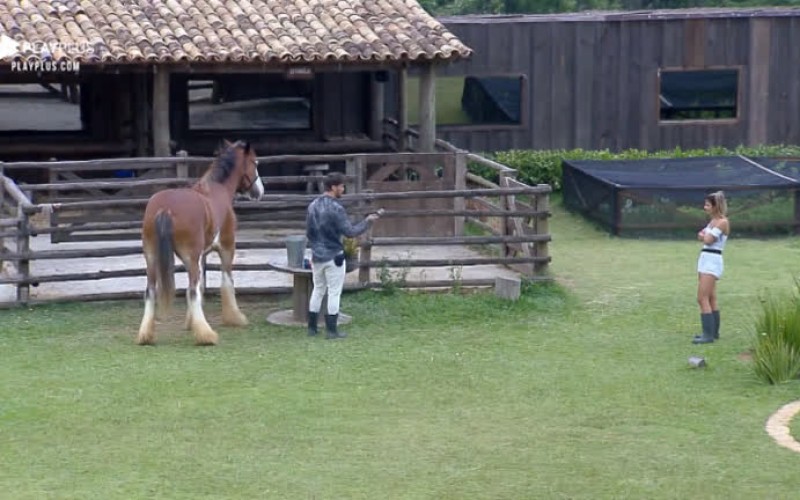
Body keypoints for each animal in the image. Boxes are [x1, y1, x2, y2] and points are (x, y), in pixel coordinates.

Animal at [136, 140, 265, 346]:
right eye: (255, 162)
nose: (260, 191)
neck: (217, 190)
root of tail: (165, 208)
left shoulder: (201, 255)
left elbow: (202, 286)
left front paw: (191, 323)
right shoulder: (227, 248)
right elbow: (226, 281)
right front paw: (234, 317)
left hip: (152, 256)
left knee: (151, 291)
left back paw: (146, 335)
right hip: (189, 256)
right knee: (192, 291)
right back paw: (207, 335)